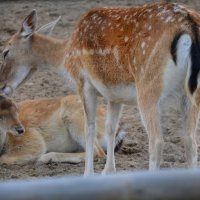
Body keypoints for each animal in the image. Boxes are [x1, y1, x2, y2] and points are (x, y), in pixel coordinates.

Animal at [0, 1, 200, 175]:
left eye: (5, 52)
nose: (2, 86)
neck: (66, 58)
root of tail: (188, 25)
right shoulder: (114, 94)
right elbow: (111, 128)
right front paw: (108, 172)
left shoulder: (83, 83)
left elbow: (90, 129)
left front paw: (88, 175)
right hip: (190, 94)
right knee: (190, 140)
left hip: (148, 88)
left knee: (157, 141)